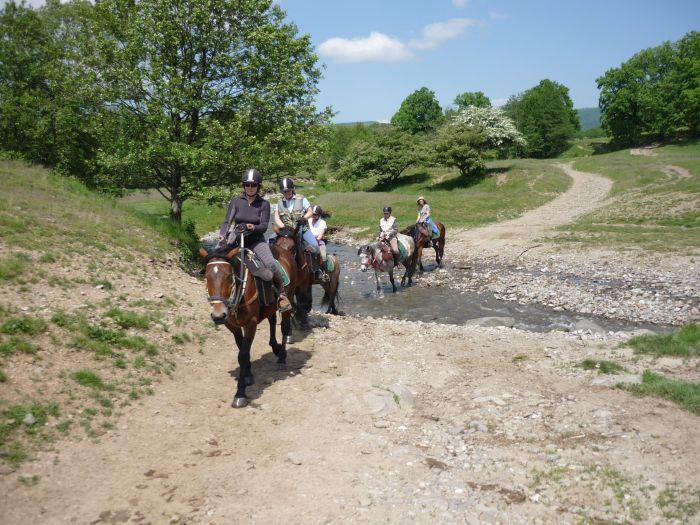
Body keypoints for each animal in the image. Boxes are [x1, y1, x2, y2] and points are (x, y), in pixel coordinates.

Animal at [200, 235, 296, 408]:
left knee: (285, 328)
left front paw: (240, 393)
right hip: (270, 306)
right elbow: (241, 349)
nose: (218, 315)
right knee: (272, 320)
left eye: (228, 276)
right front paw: (248, 374)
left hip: (289, 298)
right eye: (207, 276)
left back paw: (281, 358)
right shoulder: (232, 325)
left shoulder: (251, 323)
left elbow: (243, 354)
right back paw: (275, 347)